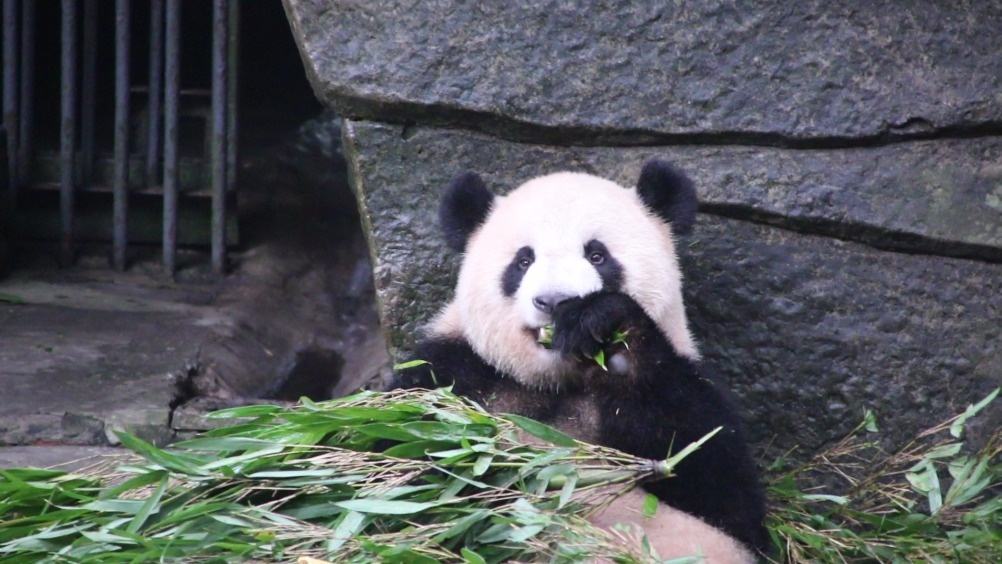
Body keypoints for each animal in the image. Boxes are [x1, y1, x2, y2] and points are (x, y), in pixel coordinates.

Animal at [390, 161, 765, 560]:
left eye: (597, 255)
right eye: (523, 260)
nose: (555, 301)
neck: (557, 382)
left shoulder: (694, 391)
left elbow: (725, 493)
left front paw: (608, 333)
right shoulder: (449, 373)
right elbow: (411, 466)